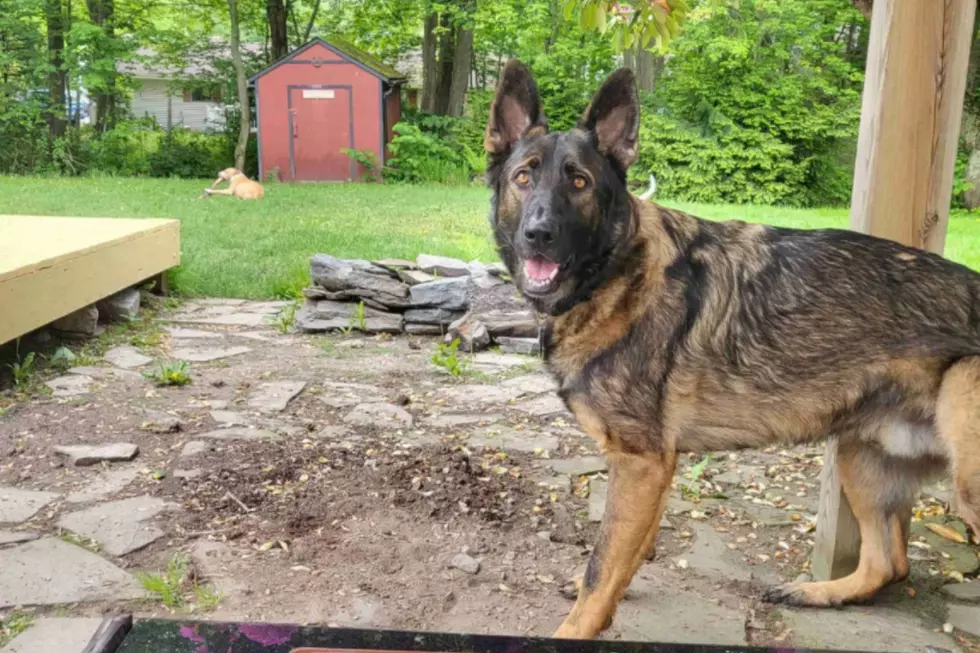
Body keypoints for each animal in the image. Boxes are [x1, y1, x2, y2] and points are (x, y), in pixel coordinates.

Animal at [488, 59, 980, 636]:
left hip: (964, 475)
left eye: (580, 182)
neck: (617, 271)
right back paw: (816, 591)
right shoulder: (654, 469)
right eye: (524, 177)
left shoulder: (639, 463)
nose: (538, 234)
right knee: (889, 563)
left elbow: (601, 565)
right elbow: (627, 556)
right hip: (859, 456)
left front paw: (575, 629)